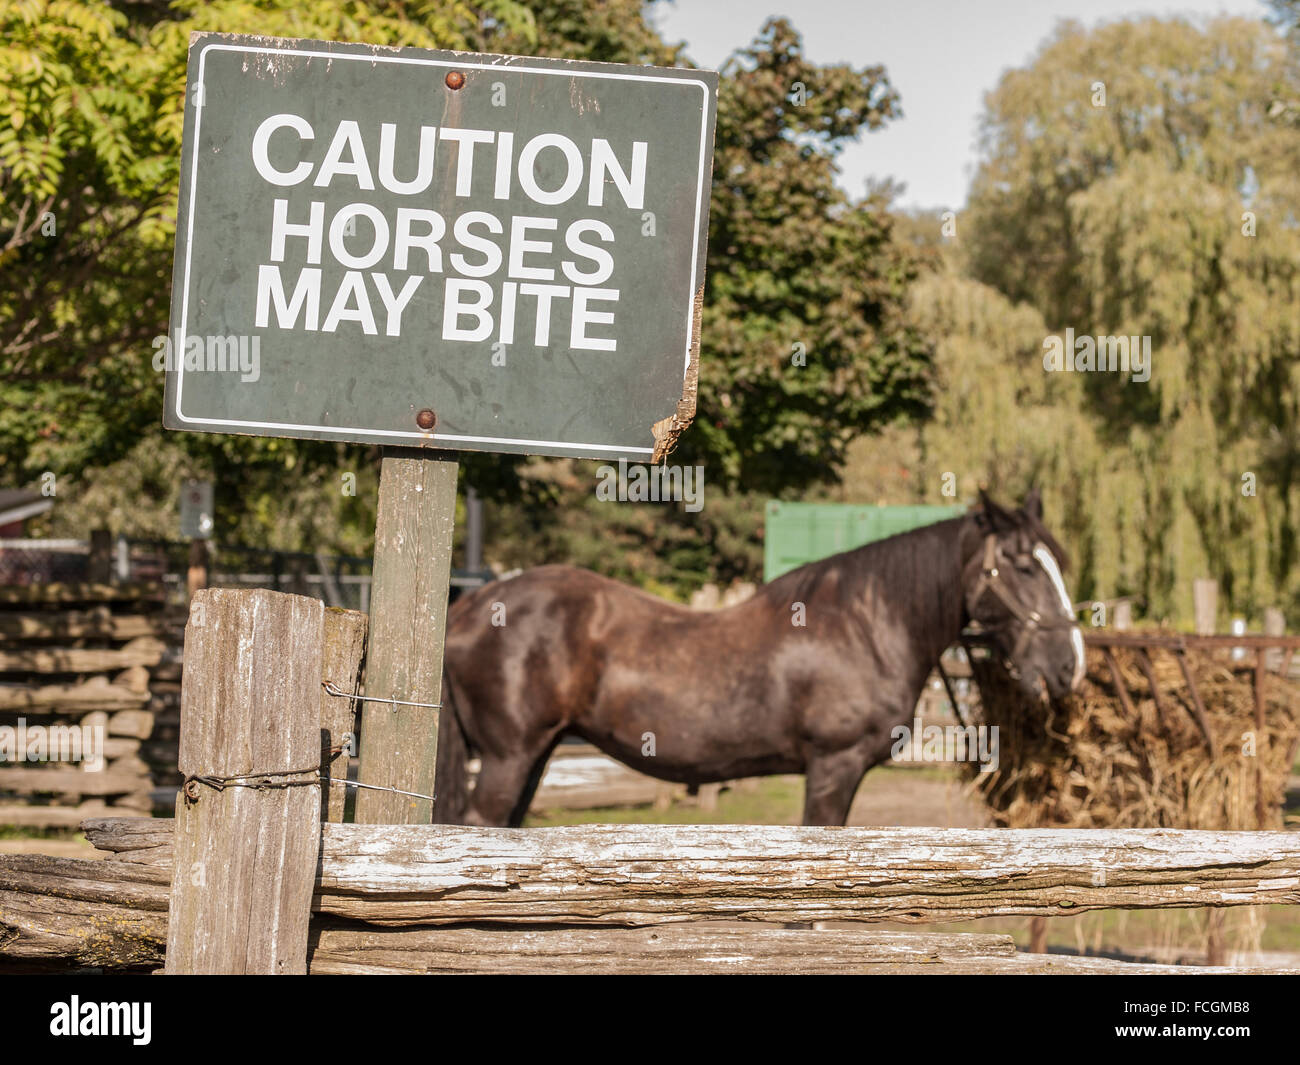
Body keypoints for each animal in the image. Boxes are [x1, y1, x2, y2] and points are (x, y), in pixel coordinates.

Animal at [432, 488, 1085, 827]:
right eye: (1023, 566)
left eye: (1056, 561)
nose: (1068, 665)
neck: (865, 627)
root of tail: (471, 608)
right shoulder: (834, 766)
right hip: (508, 757)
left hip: (535, 755)